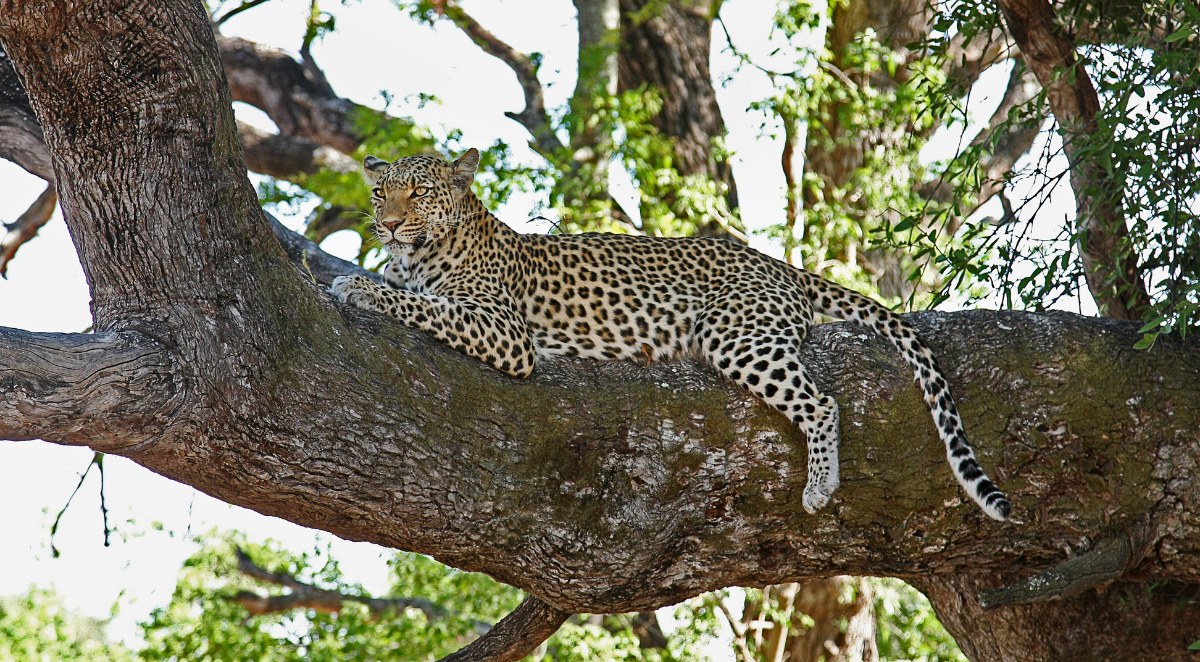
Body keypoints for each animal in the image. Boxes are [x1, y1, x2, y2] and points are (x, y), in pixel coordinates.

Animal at [330, 148, 1011, 521]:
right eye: (380, 192)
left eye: (418, 192)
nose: (388, 225)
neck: (419, 255)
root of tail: (776, 263)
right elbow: (418, 296)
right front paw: (368, 277)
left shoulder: (505, 332)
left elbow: (425, 305)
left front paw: (358, 287)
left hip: (736, 335)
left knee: (821, 402)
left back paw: (821, 484)